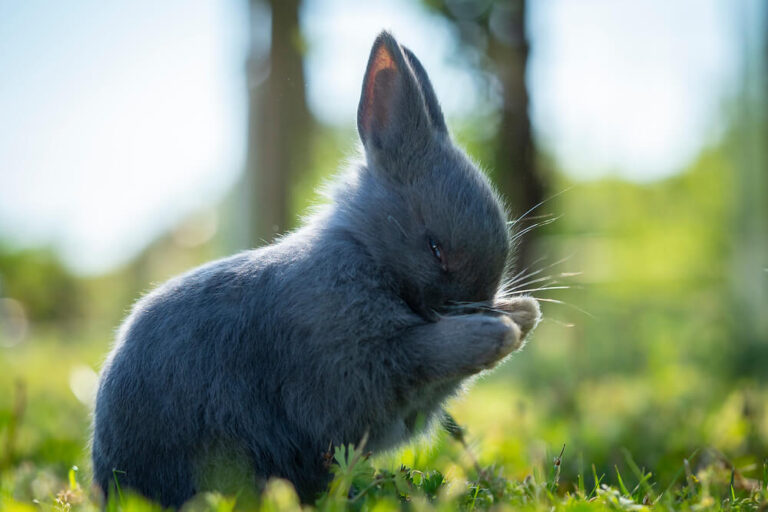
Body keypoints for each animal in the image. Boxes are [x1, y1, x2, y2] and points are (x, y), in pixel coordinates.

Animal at [91, 31, 541, 507]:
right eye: (435, 248)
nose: (480, 306)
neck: (367, 255)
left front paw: (523, 313)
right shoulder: (349, 363)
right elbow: (423, 353)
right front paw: (498, 331)